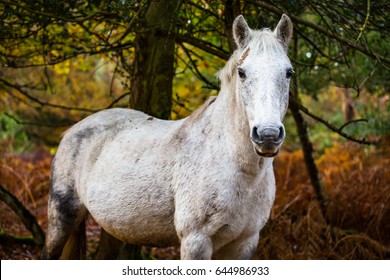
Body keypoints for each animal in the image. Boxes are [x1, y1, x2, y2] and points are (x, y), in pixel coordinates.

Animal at [42, 14, 292, 260]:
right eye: (242, 73)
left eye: (289, 72)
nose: (267, 135)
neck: (238, 168)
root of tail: (73, 130)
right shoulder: (196, 241)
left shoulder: (244, 244)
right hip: (61, 217)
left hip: (113, 228)